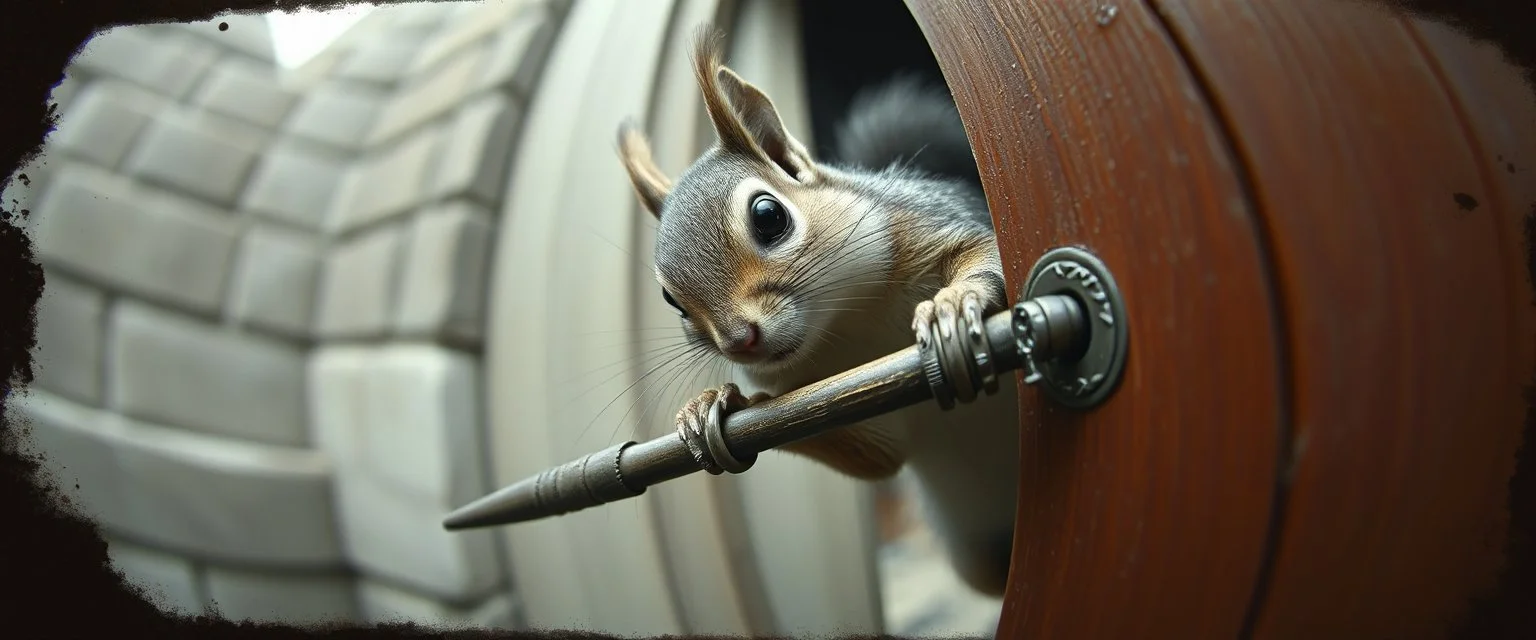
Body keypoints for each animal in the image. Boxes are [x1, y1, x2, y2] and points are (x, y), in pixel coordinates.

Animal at [614, 27, 1020, 597]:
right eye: (672, 300)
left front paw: (953, 304)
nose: (739, 341)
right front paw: (715, 405)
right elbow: (876, 457)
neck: (847, 323)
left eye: (768, 216)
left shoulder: (926, 229)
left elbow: (984, 253)